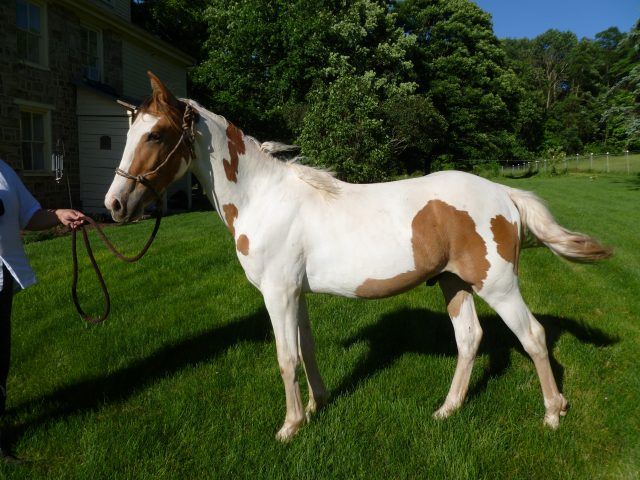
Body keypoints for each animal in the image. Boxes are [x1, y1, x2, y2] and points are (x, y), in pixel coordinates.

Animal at [104, 69, 608, 440]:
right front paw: (317, 406)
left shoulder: (277, 294)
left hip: (498, 285)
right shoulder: (296, 294)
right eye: (129, 133)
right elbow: (306, 350)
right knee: (469, 340)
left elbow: (285, 357)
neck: (262, 198)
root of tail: (503, 193)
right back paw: (447, 410)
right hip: (454, 283)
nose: (115, 204)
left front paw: (290, 427)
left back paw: (553, 413)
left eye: (156, 135)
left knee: (534, 337)